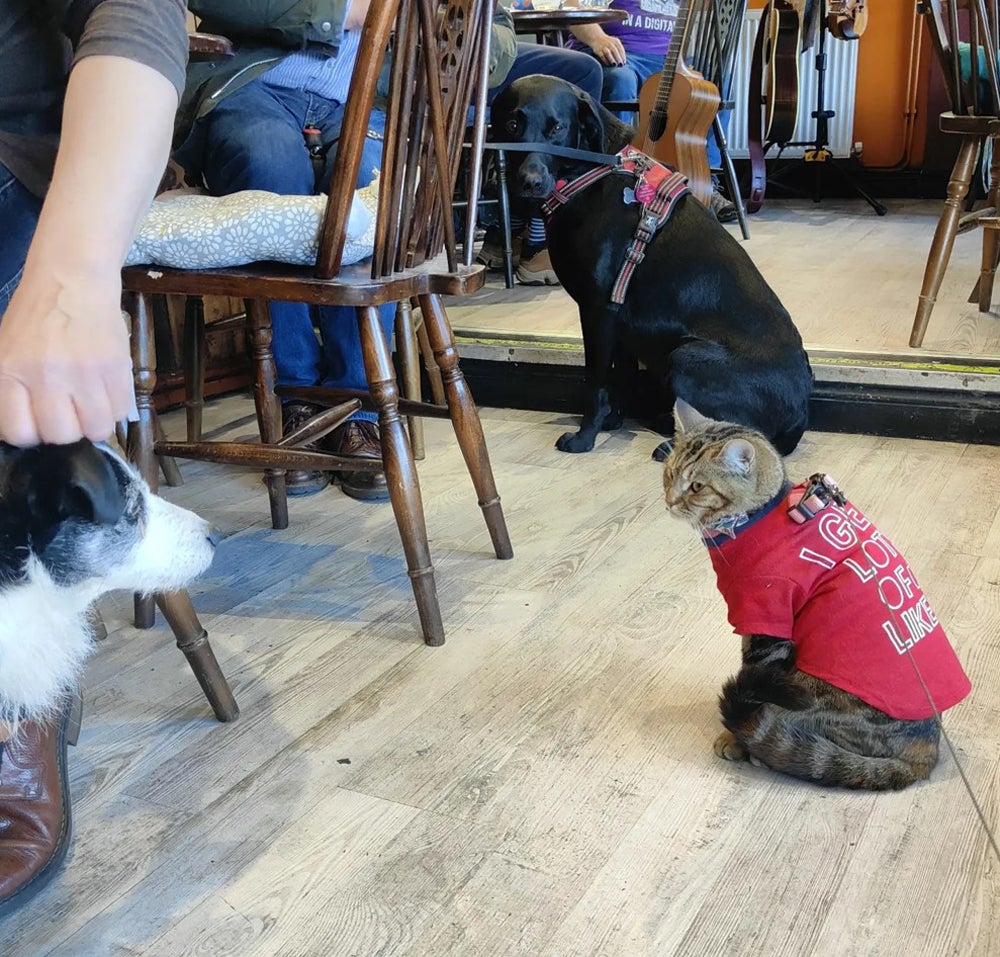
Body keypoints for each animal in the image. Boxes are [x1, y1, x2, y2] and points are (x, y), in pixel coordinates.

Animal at [660, 400, 972, 788]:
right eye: (669, 474)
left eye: (698, 486)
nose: (669, 502)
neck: (755, 517)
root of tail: (926, 754)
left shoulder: (766, 621)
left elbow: (751, 672)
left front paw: (734, 739)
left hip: (807, 687)